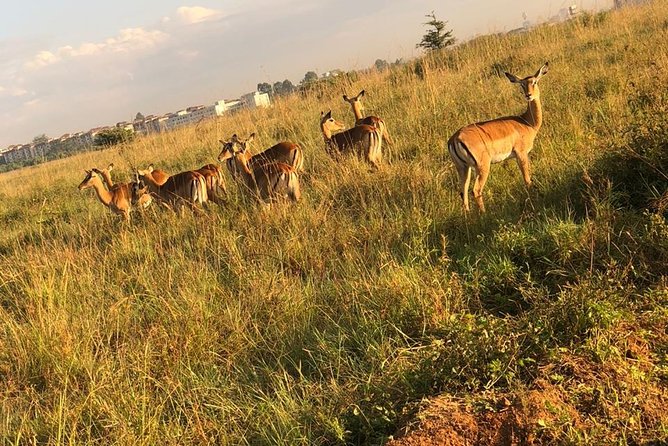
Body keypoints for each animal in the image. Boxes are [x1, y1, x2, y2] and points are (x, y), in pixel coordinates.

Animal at [446, 61, 552, 213]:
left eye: (534, 82)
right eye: (522, 84)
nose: (528, 95)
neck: (526, 122)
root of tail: (455, 138)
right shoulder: (521, 154)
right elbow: (527, 179)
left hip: (463, 168)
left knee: (463, 192)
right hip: (482, 167)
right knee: (475, 190)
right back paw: (484, 214)